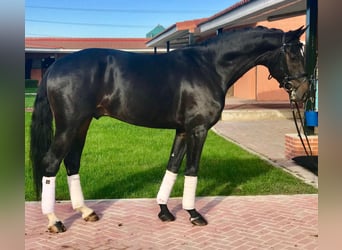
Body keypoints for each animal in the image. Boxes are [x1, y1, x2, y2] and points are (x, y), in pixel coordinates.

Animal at [30, 25, 308, 232]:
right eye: (294, 54)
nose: (304, 91)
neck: (209, 66)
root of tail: (55, 65)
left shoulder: (183, 130)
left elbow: (173, 166)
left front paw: (164, 211)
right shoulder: (198, 129)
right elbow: (192, 169)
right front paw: (194, 214)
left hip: (82, 124)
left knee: (72, 162)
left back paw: (85, 211)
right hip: (69, 125)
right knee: (51, 162)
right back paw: (54, 220)